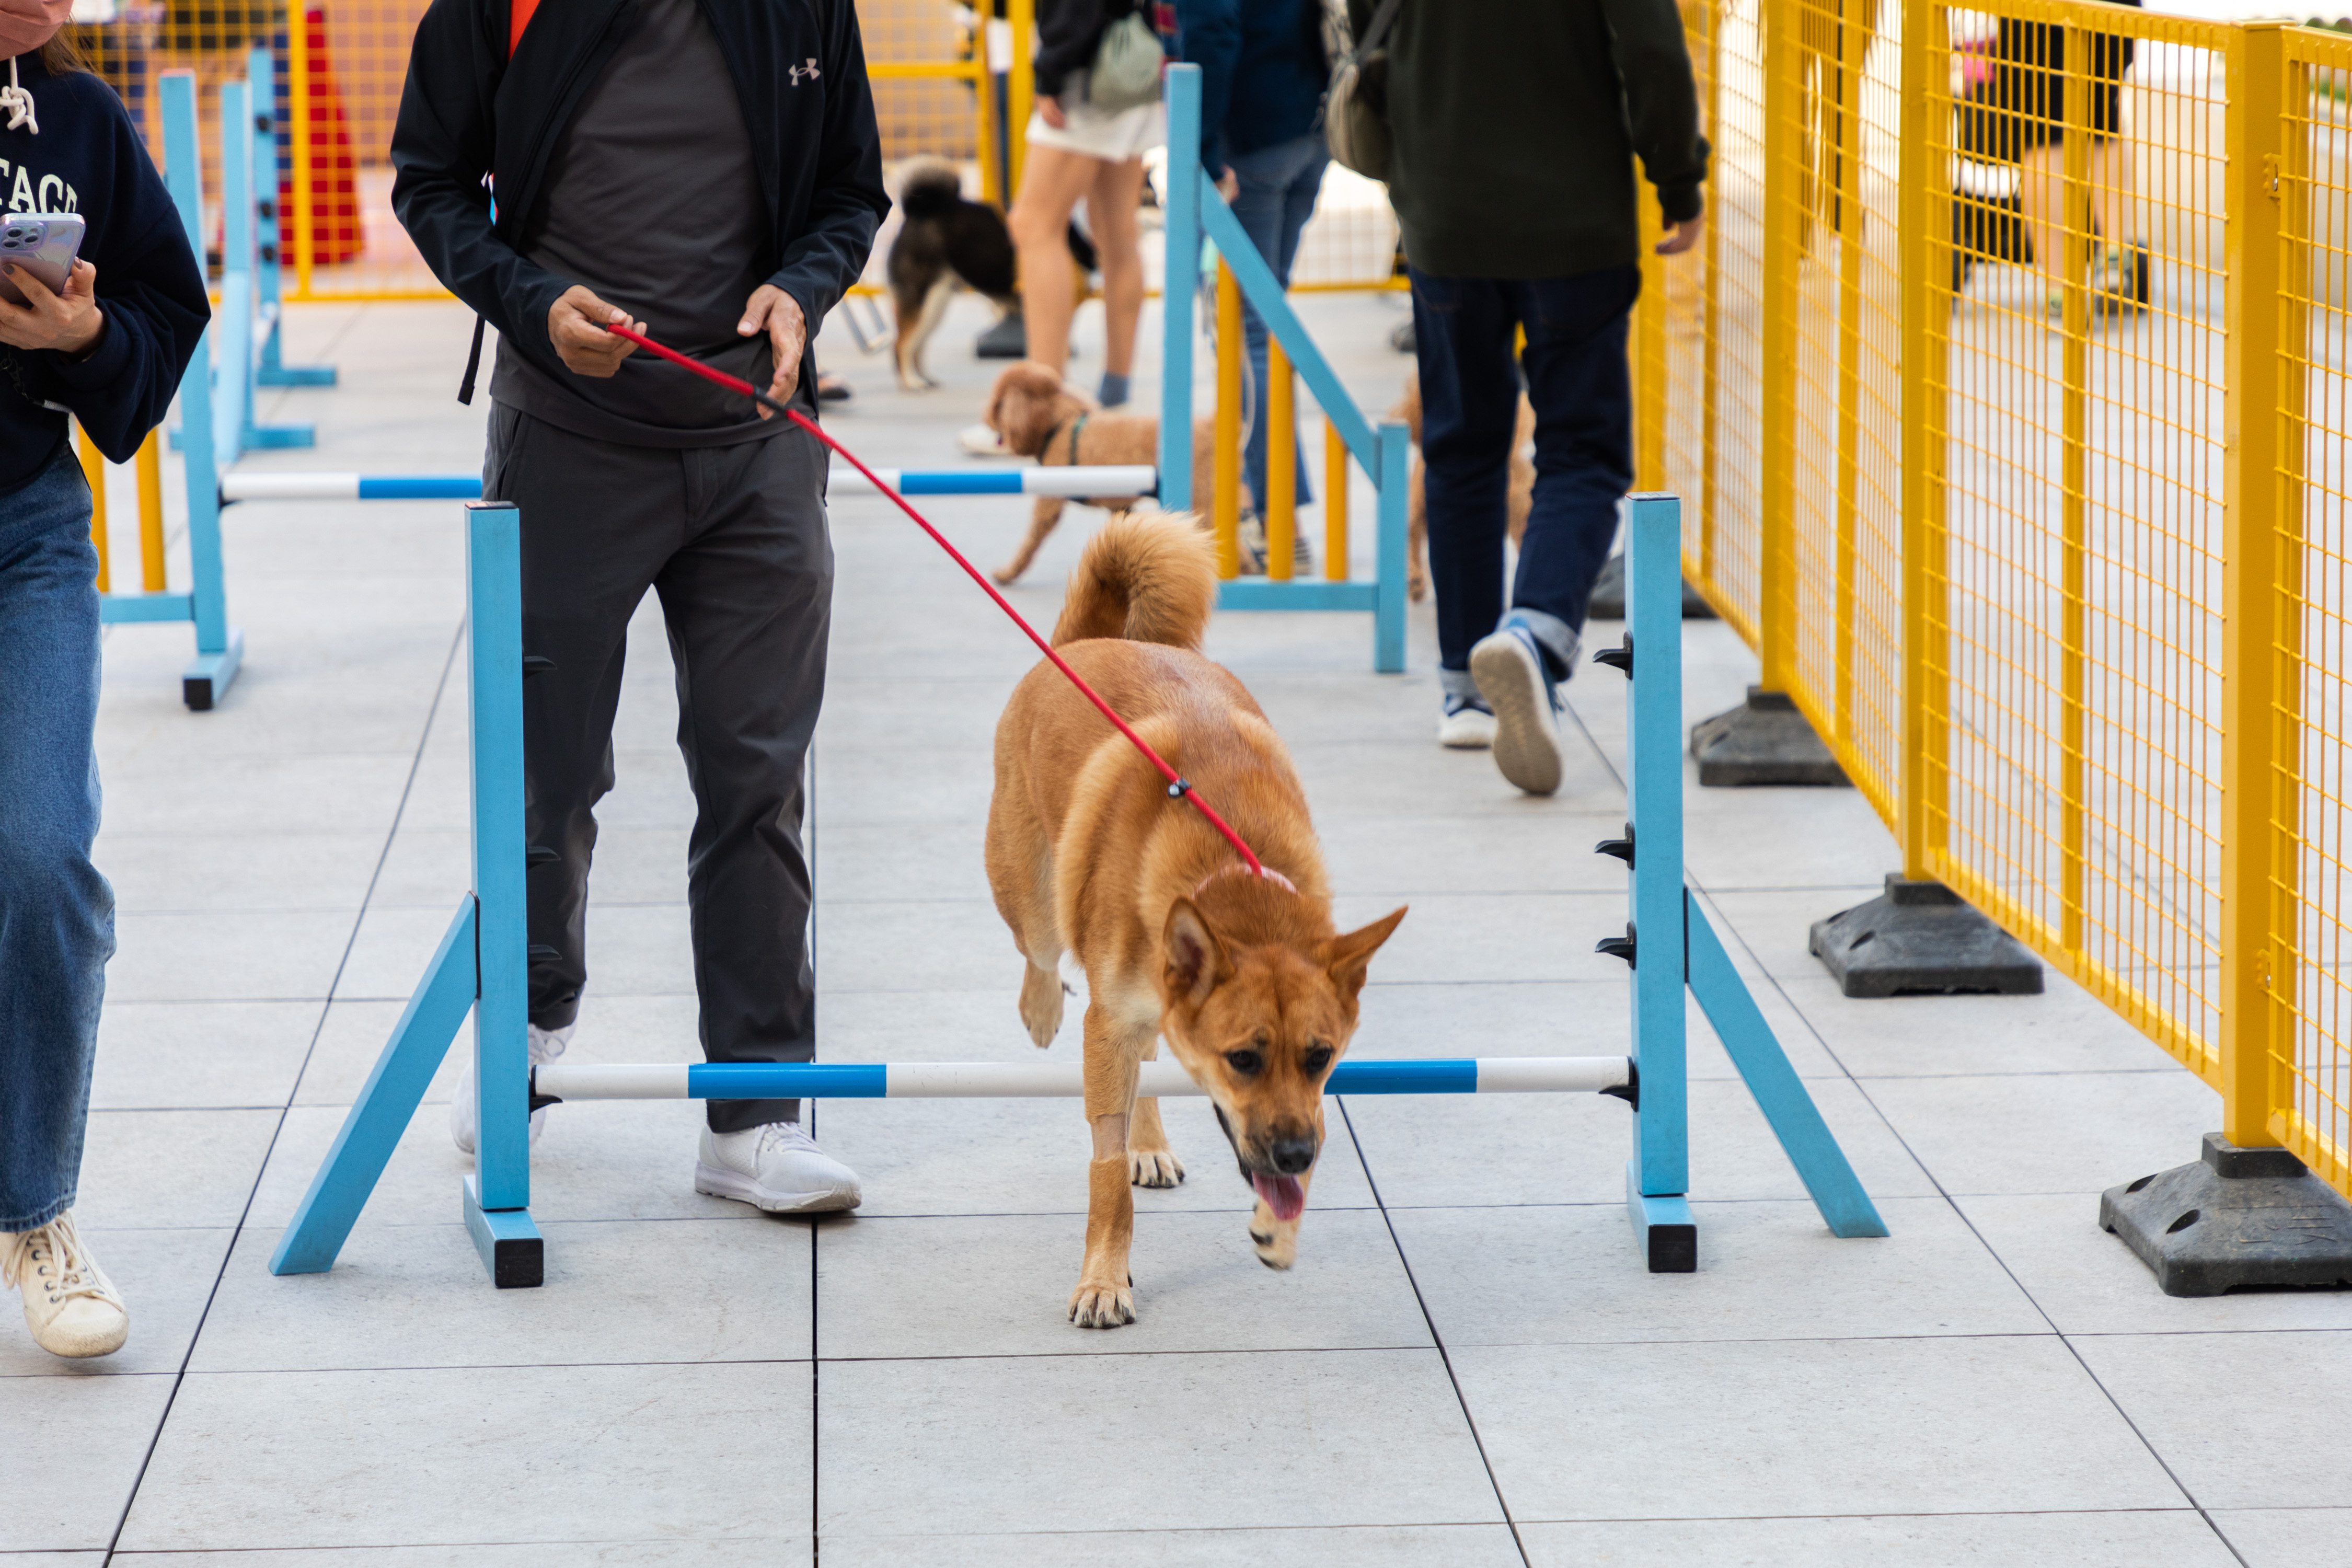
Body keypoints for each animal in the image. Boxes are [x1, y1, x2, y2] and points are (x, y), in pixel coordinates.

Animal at [884, 162, 1096, 393]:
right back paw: (911, 382)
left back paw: (925, 379)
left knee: (918, 345)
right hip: (924, 301)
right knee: (901, 345)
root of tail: (917, 211)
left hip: (936, 304)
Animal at [974, 360, 1242, 583]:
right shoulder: (1119, 505)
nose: (985, 417)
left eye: (997, 404)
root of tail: (1209, 429)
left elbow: (1030, 541)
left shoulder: (1049, 501)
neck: (1061, 424)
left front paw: (1007, 573)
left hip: (1200, 502)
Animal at [983, 512, 1402, 1325]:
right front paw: (1105, 1277)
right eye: (1243, 1058)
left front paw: (1279, 1223)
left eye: (1321, 1057)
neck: (1230, 878)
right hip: (1031, 898)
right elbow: (1104, 1167)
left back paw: (1148, 1139)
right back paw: (1043, 1008)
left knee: (1145, 1063)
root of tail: (1085, 644)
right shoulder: (1110, 1020)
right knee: (1042, 957)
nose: (1297, 1156)